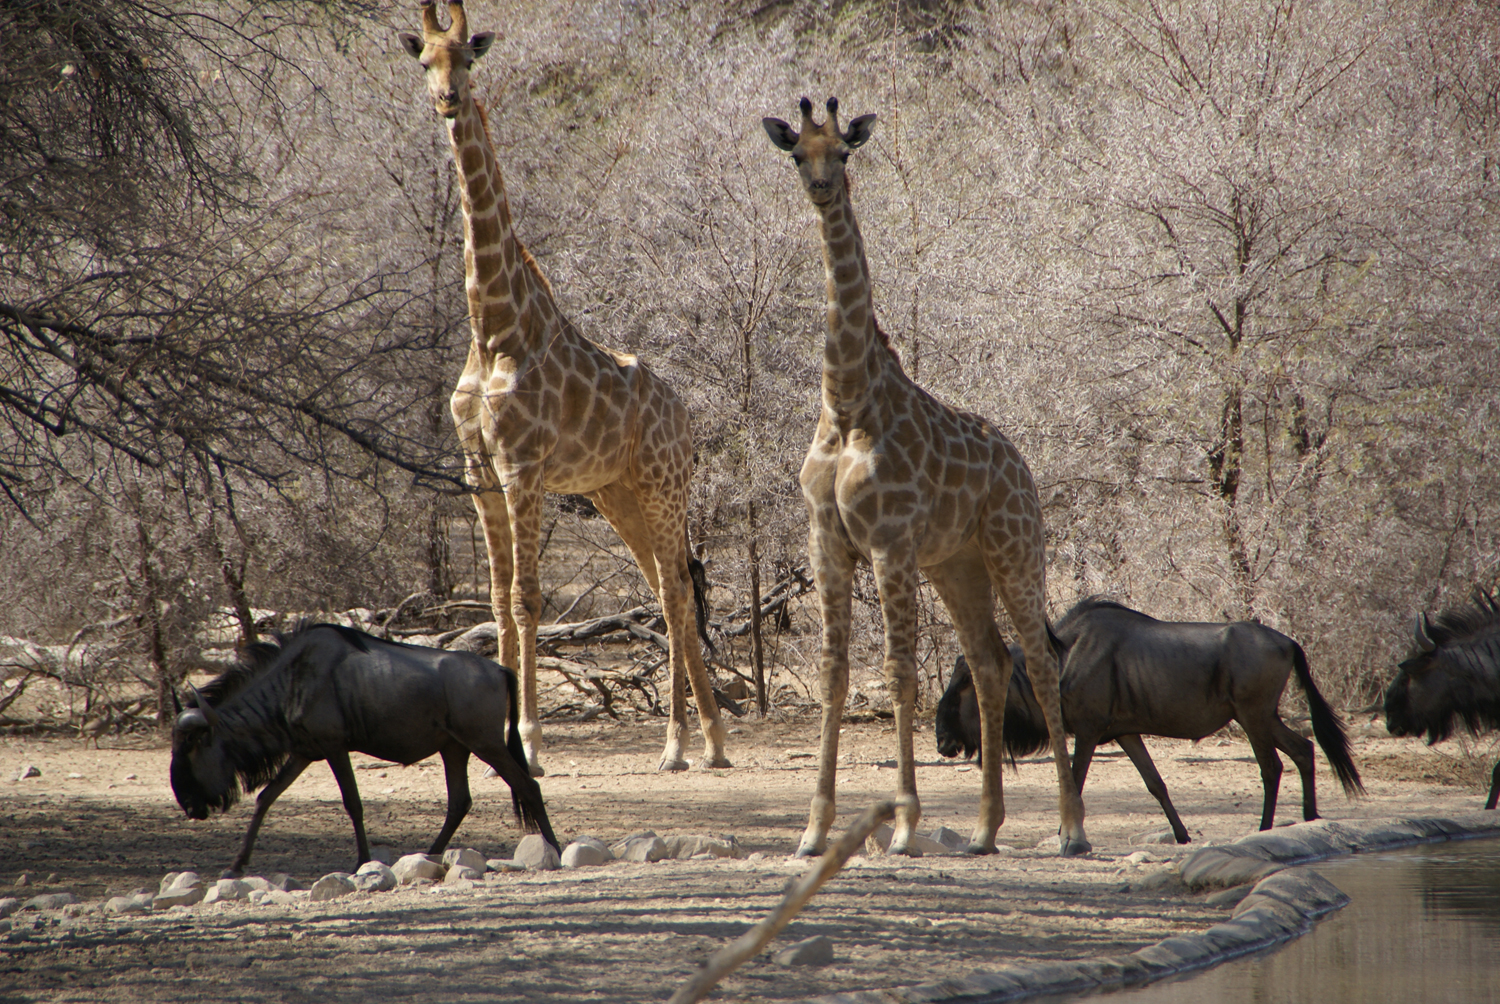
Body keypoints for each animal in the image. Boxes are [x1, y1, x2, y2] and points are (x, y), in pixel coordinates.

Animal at [396, 1, 729, 774]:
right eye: (424, 59)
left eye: (468, 57)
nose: (447, 100)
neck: (494, 327)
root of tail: (687, 416)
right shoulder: (479, 467)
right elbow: (494, 599)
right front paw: (499, 736)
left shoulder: (523, 466)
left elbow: (528, 599)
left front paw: (530, 739)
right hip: (617, 493)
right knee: (667, 585)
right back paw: (711, 742)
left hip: (664, 485)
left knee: (675, 592)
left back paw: (678, 745)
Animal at [762, 97, 1092, 852]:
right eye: (797, 155)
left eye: (843, 153)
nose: (821, 188)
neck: (847, 400)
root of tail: (1023, 468)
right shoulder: (827, 543)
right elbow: (833, 676)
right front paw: (812, 830)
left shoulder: (889, 542)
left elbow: (899, 675)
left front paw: (906, 826)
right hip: (956, 565)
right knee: (991, 662)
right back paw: (984, 830)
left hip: (1014, 551)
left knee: (1041, 663)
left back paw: (1070, 830)